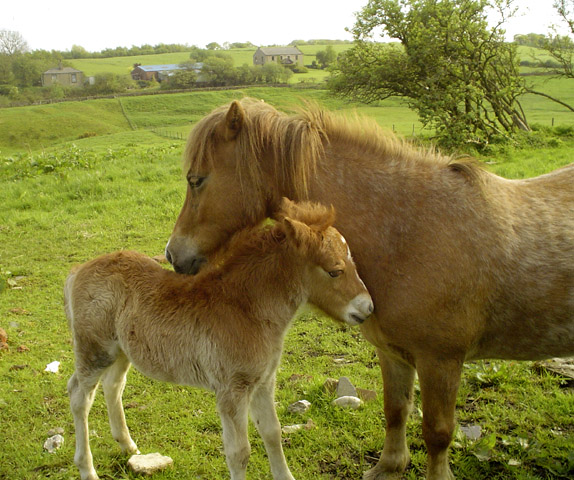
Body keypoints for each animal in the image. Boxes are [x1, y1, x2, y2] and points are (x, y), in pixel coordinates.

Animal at [65, 199, 376, 480]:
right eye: (335, 270)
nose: (368, 307)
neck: (246, 308)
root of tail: (77, 271)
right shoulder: (232, 390)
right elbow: (239, 453)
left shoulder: (263, 381)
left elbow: (272, 432)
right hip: (95, 349)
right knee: (79, 395)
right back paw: (87, 470)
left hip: (121, 350)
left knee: (113, 385)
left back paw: (127, 445)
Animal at [164, 98, 572, 480]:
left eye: (196, 180)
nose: (172, 254)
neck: (407, 230)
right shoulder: (393, 353)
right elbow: (396, 411)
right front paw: (390, 466)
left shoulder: (441, 360)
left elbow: (438, 432)